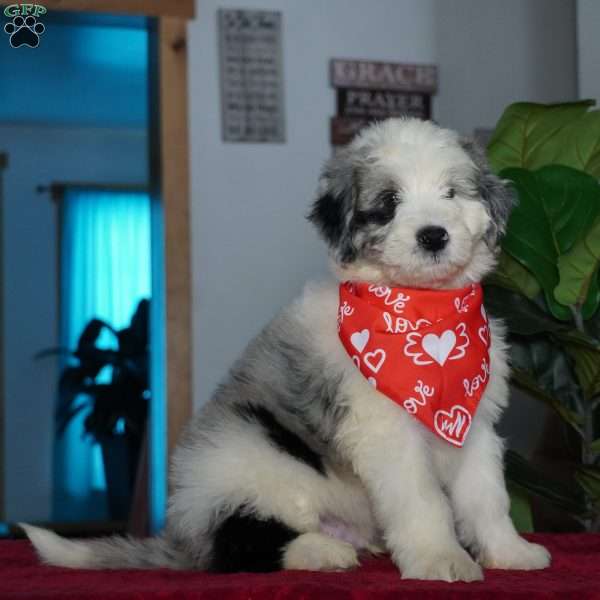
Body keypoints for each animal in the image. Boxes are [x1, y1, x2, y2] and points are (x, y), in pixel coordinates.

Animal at [22, 117, 548, 580]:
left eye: (452, 193)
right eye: (388, 203)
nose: (433, 235)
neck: (423, 312)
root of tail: (181, 539)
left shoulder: (473, 424)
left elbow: (486, 498)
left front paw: (510, 552)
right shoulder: (386, 433)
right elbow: (423, 500)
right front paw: (441, 559)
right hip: (246, 455)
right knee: (237, 542)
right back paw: (323, 551)